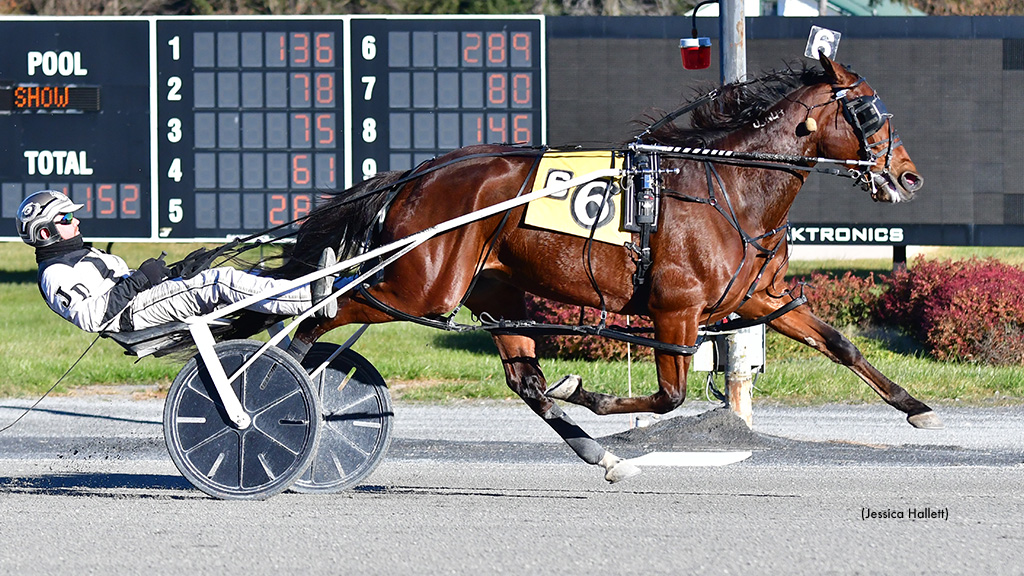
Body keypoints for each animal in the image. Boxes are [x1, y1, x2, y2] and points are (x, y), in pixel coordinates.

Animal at [246, 54, 942, 482]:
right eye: (871, 110)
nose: (910, 176)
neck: (729, 188)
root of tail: (418, 175)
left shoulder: (757, 299)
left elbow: (841, 345)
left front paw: (916, 406)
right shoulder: (675, 309)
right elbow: (669, 396)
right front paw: (588, 391)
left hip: (495, 291)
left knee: (524, 382)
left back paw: (598, 455)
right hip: (421, 286)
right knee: (321, 312)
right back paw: (270, 386)